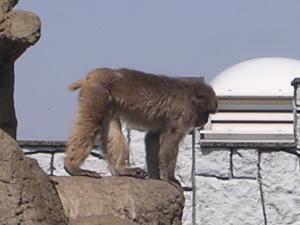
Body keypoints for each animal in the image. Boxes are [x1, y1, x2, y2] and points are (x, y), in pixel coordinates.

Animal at [64, 67, 217, 185]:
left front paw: (156, 177)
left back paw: (120, 170)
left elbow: (152, 137)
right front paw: (170, 178)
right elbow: (171, 139)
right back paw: (73, 167)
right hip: (97, 91)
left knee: (112, 129)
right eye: (206, 113)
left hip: (107, 99)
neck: (190, 94)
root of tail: (94, 74)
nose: (204, 120)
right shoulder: (184, 113)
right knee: (90, 122)